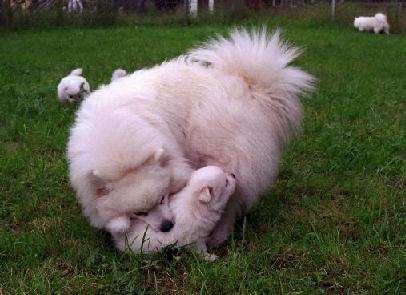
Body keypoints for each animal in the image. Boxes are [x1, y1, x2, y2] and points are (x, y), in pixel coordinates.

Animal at [67, 28, 314, 247]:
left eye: (164, 197)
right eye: (140, 212)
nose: (167, 226)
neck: (117, 145)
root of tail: (249, 88)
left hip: (229, 160)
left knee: (230, 202)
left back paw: (218, 237)